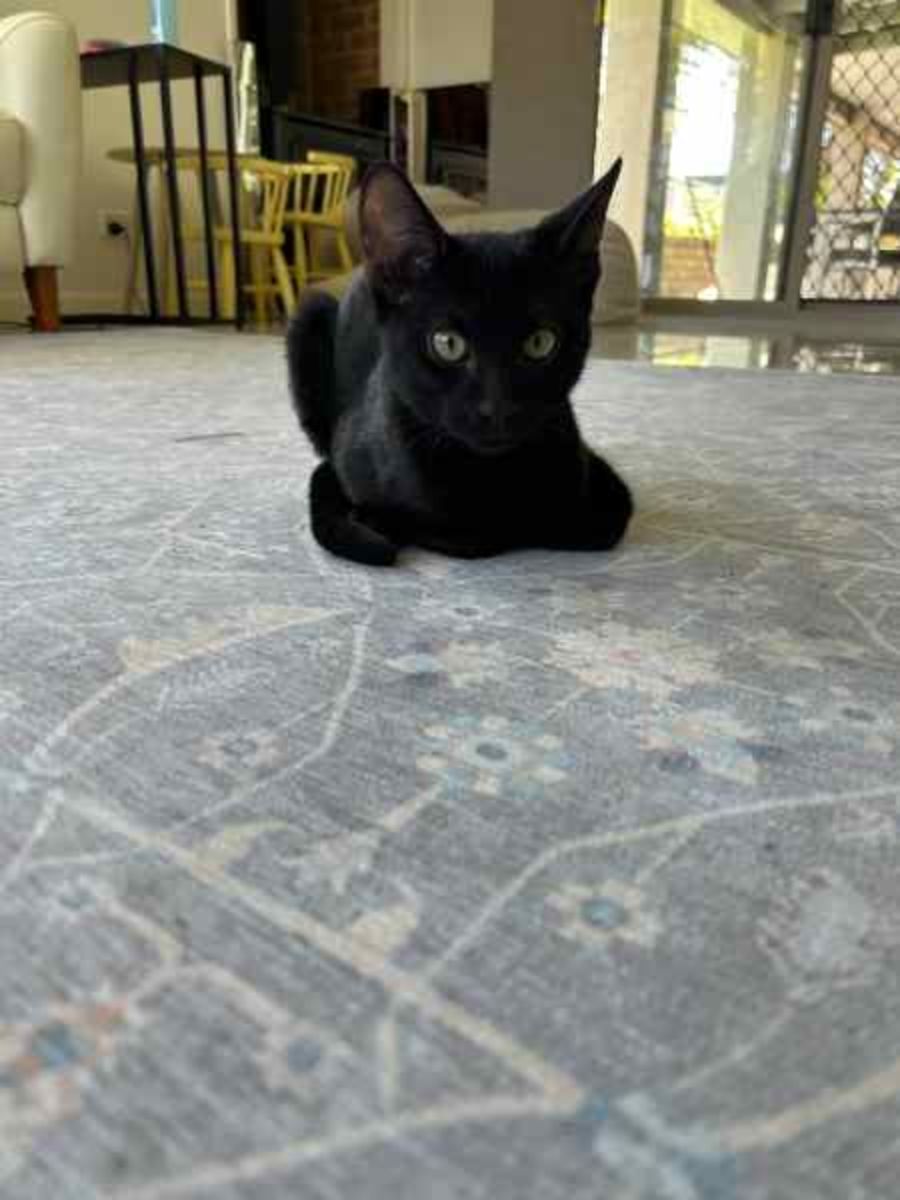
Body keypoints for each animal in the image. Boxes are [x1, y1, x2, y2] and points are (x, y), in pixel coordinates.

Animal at [286, 160, 633, 567]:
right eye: (448, 344)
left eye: (540, 343)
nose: (498, 408)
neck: (486, 480)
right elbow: (450, 531)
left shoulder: (596, 479)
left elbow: (589, 524)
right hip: (309, 316)